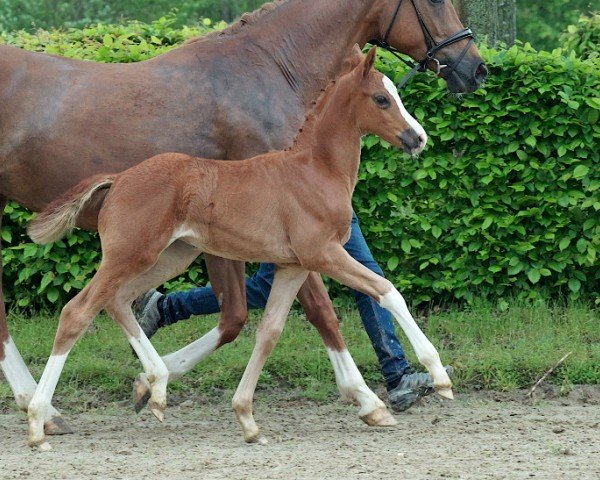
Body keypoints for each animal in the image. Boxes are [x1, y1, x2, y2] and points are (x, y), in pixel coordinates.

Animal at [27, 47, 450, 446]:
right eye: (381, 98)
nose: (419, 138)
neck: (315, 170)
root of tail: (118, 178)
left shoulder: (293, 266)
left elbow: (270, 331)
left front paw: (247, 419)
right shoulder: (323, 254)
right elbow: (387, 292)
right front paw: (438, 377)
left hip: (170, 257)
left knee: (117, 301)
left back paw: (156, 387)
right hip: (129, 255)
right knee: (77, 311)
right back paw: (37, 420)